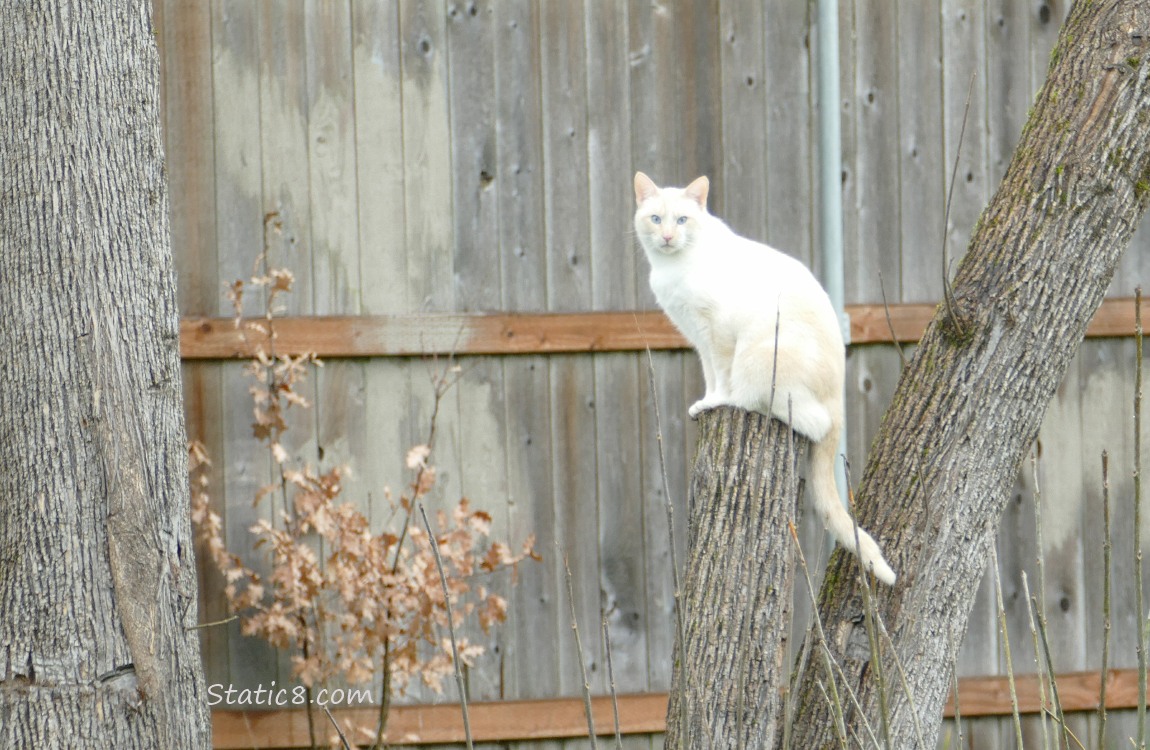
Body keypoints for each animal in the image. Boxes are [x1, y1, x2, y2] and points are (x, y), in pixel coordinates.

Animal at [634, 171, 892, 586]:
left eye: (682, 220)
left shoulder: (716, 332)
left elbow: (720, 379)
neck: (673, 267)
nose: (669, 237)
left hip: (758, 357)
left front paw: (712, 403)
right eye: (656, 219)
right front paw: (701, 403)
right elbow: (708, 375)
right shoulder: (698, 338)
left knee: (804, 419)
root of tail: (837, 395)